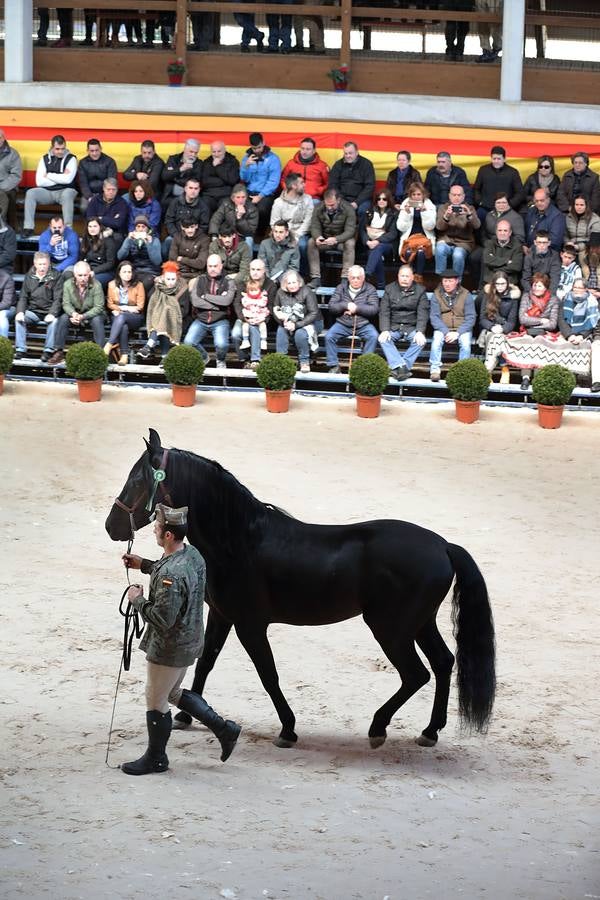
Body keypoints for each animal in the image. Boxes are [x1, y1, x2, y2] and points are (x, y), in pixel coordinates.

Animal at [104, 428, 496, 744]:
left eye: (137, 480)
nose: (111, 526)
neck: (239, 541)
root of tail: (442, 545)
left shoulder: (250, 625)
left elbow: (268, 675)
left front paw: (288, 729)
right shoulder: (221, 616)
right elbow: (205, 662)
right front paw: (187, 714)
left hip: (391, 629)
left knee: (416, 674)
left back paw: (378, 728)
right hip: (420, 624)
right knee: (444, 663)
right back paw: (430, 731)